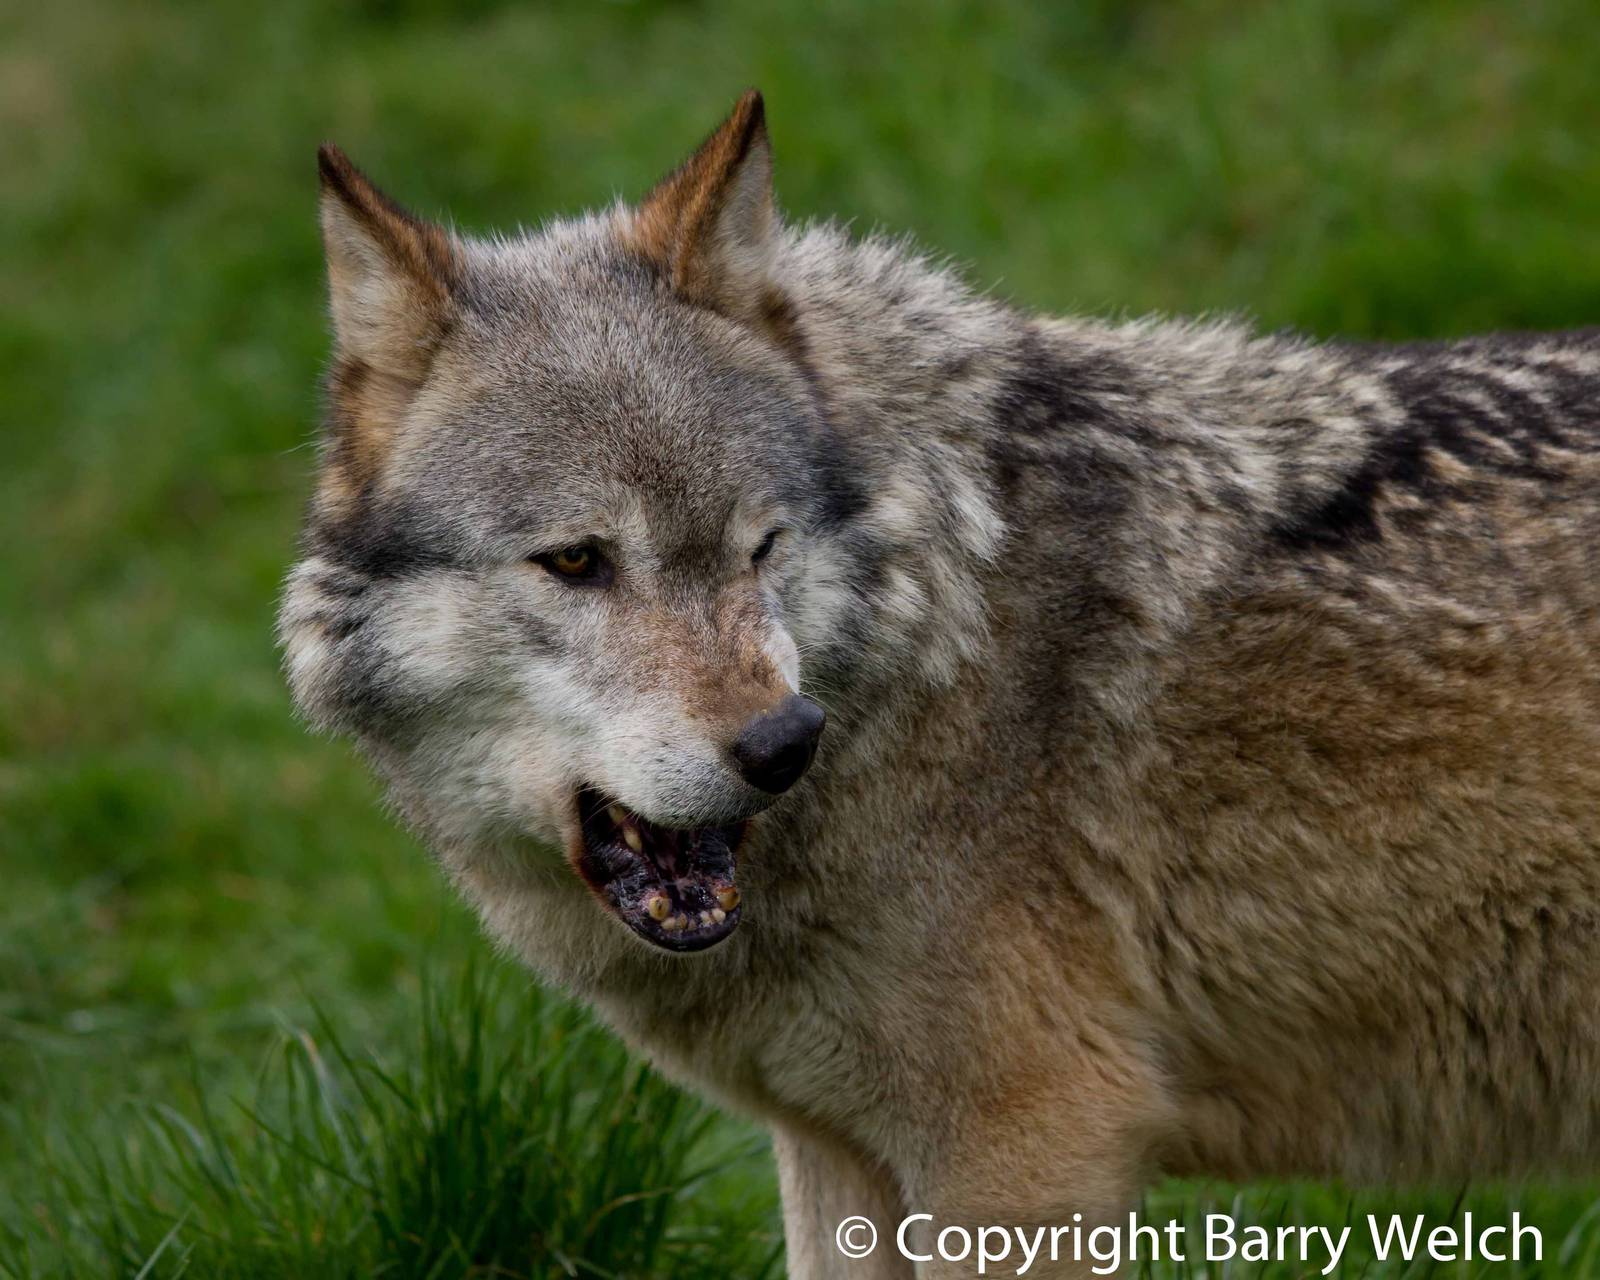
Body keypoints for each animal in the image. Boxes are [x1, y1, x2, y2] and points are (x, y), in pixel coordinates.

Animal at [279, 90, 1600, 1276]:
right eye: (574, 561)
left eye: (761, 548)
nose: (783, 742)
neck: (936, 630)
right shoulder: (838, 1153)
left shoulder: (1030, 1148)